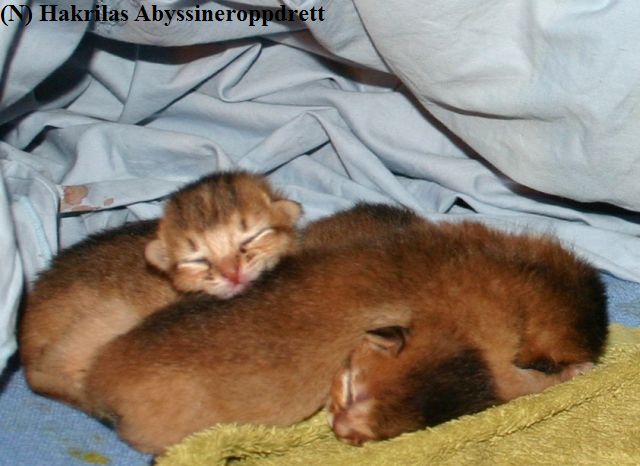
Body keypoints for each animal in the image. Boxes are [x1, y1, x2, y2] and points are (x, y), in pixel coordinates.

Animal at [82, 204, 608, 453]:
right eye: (352, 389)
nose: (340, 429)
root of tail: (98, 382)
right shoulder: (501, 366)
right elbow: (528, 384)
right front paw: (574, 373)